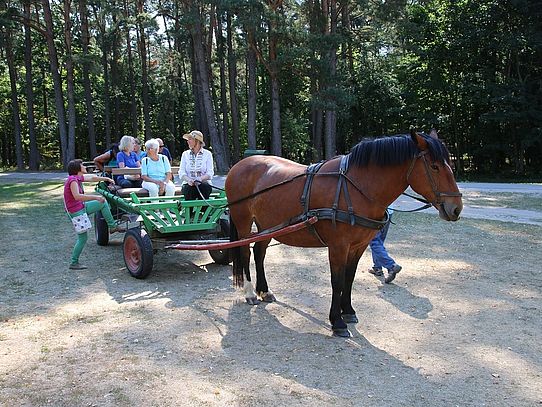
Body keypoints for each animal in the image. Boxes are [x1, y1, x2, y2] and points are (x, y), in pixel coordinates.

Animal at [225, 131, 464, 338]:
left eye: (450, 165)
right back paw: (250, 293)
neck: (357, 187)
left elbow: (349, 278)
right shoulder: (338, 246)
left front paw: (348, 311)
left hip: (267, 225)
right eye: (434, 167)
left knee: (259, 253)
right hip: (244, 223)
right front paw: (337, 321)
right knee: (246, 253)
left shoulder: (358, 246)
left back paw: (264, 291)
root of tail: (239, 165)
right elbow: (337, 281)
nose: (456, 208)